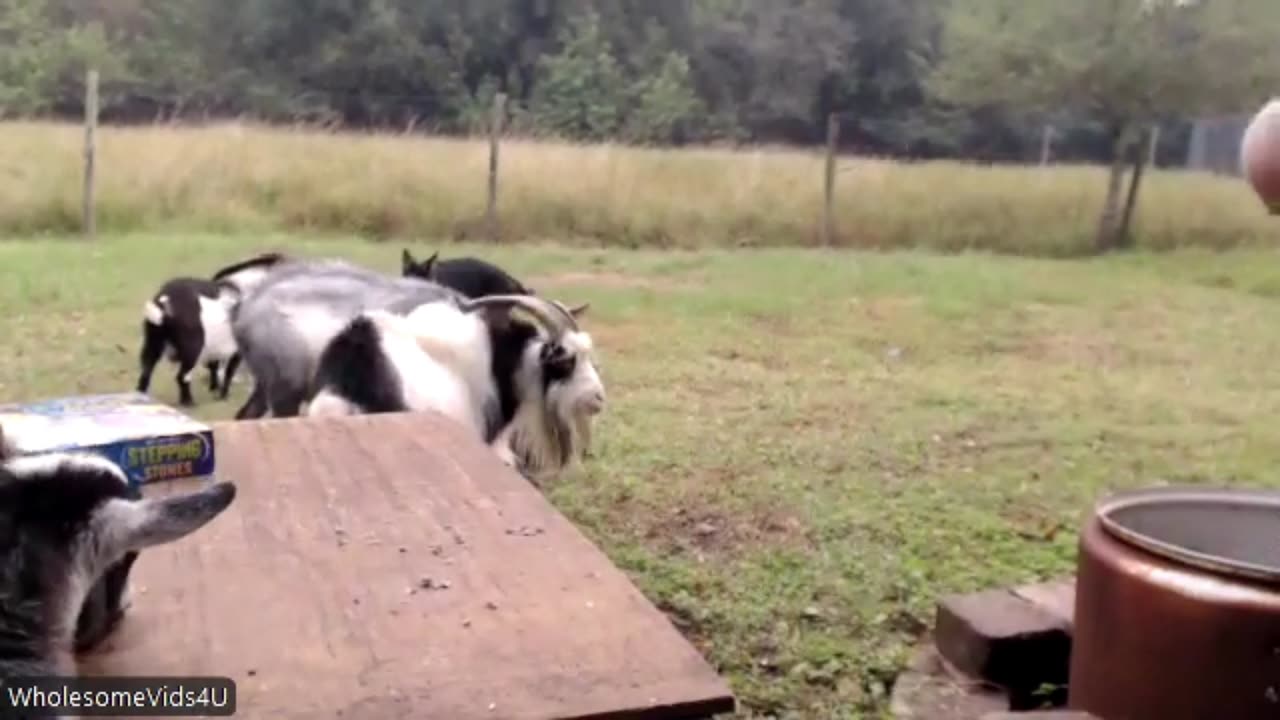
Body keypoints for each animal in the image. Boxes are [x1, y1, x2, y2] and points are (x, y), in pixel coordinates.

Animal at [136, 252, 287, 407]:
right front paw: (223, 395)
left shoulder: (215, 346)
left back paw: (141, 397)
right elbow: (229, 371)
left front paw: (214, 388)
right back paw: (188, 402)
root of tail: (163, 300)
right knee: (182, 376)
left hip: (153, 341)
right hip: (192, 347)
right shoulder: (238, 350)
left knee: (146, 370)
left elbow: (213, 365)